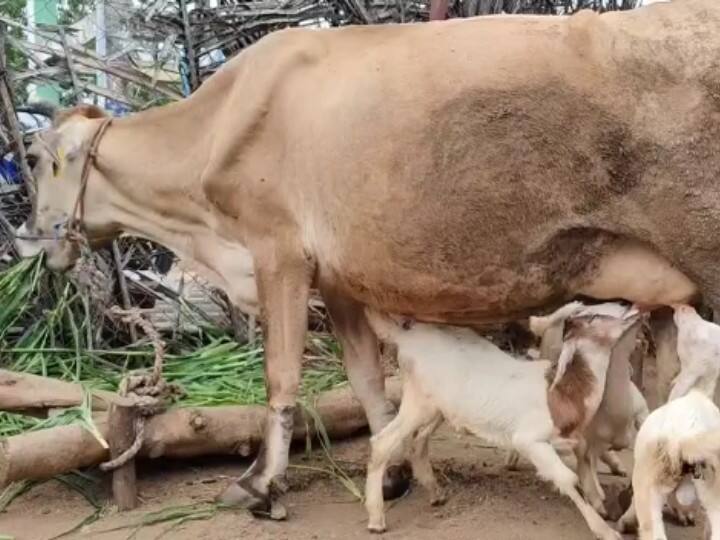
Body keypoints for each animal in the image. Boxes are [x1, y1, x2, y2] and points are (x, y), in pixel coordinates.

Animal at [12, 0, 720, 520]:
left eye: (40, 157)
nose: (26, 238)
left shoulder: (278, 252)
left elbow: (281, 377)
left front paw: (260, 484)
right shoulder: (340, 277)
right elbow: (366, 380)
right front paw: (401, 470)